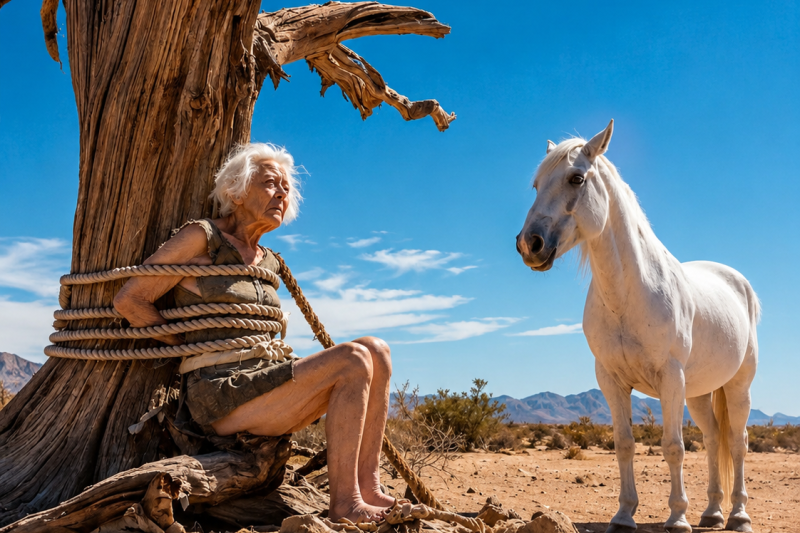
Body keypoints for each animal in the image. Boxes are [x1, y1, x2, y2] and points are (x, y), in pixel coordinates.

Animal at [515, 120, 759, 533]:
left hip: (737, 385)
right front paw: (624, 515)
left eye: (576, 178)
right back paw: (711, 513)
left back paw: (738, 515)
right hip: (698, 392)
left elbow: (673, 447)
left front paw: (677, 517)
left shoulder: (670, 378)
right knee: (713, 439)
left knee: (737, 441)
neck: (628, 294)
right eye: (536, 185)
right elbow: (624, 444)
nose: (529, 244)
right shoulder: (611, 379)